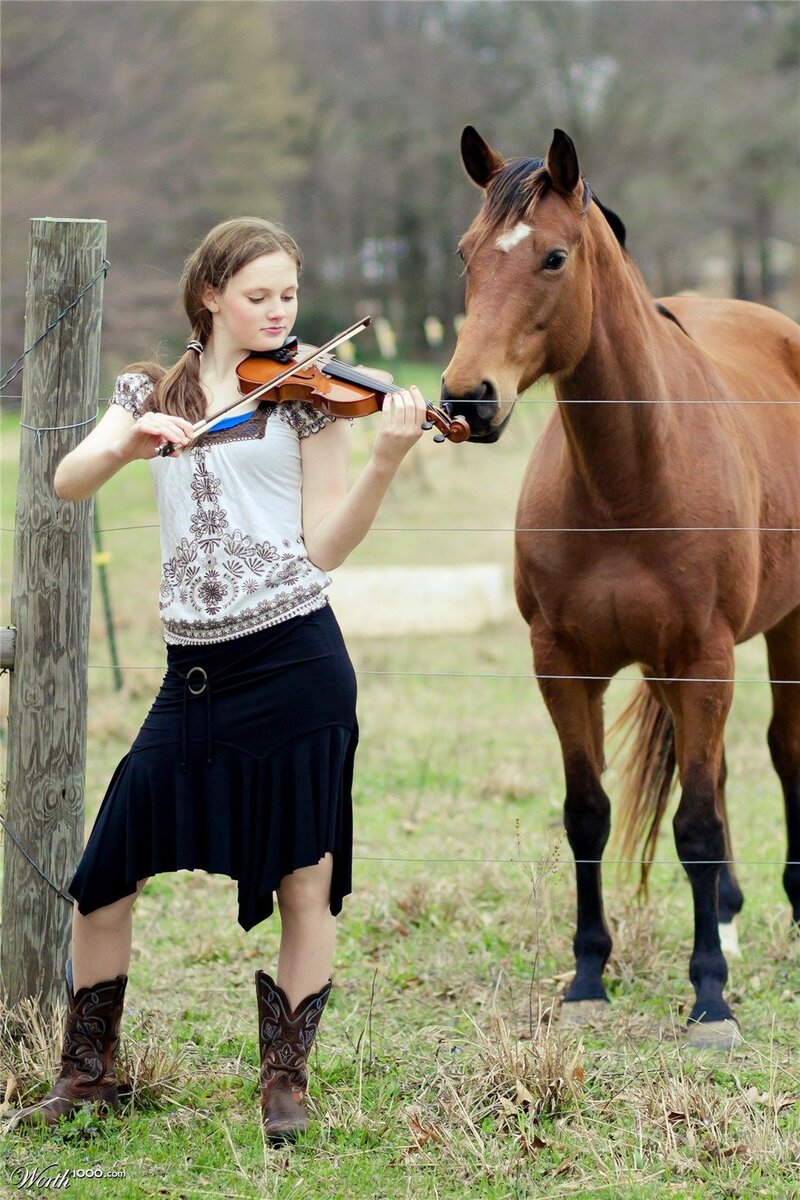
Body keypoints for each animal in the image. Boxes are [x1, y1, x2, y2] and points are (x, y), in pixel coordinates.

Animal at [441, 124, 800, 1051]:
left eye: (554, 257)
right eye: (465, 254)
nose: (467, 399)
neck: (627, 480)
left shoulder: (704, 658)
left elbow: (697, 823)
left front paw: (709, 1001)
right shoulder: (565, 666)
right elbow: (588, 814)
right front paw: (587, 979)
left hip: (783, 633)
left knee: (783, 752)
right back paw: (730, 915)